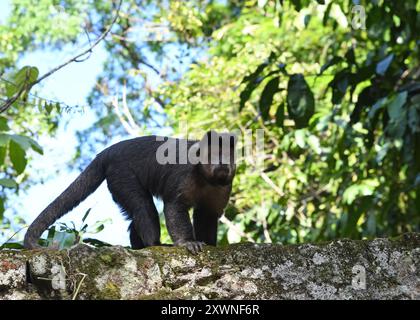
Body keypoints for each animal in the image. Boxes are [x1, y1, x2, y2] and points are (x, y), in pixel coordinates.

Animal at [23, 129, 236, 252]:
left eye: (228, 156)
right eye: (215, 155)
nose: (223, 164)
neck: (205, 177)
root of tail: (109, 151)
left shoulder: (225, 186)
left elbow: (207, 214)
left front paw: (209, 244)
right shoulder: (184, 172)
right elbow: (174, 206)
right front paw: (187, 242)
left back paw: (139, 245)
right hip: (121, 173)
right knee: (143, 207)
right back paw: (154, 245)